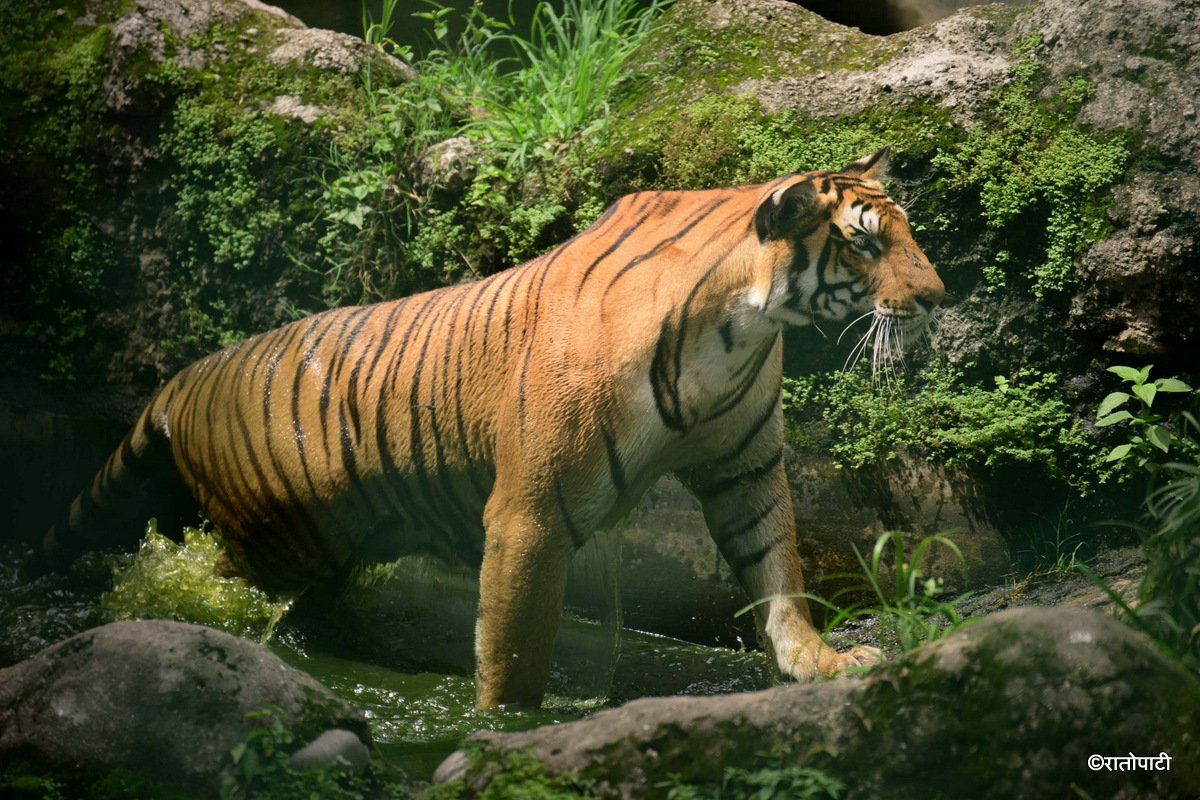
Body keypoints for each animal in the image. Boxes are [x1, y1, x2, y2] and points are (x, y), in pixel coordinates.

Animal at [43, 147, 945, 709]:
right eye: (864, 245)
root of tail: (185, 377)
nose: (938, 298)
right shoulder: (530, 513)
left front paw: (818, 662)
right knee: (206, 585)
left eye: (906, 232)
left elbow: (777, 570)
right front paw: (506, 727)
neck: (740, 328)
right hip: (269, 539)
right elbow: (514, 649)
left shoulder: (745, 470)